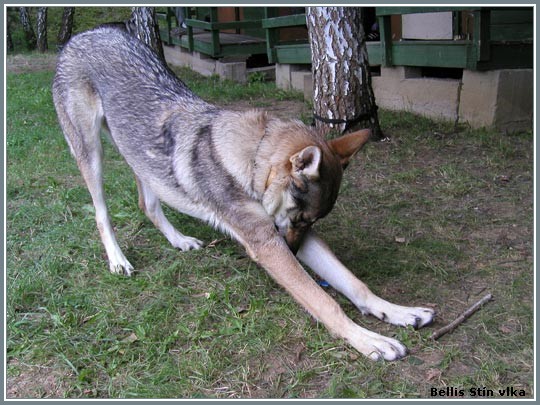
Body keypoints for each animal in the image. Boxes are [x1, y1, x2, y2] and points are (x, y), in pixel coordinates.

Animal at [52, 26, 434, 360]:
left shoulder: (286, 234)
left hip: (141, 161)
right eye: (300, 217)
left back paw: (180, 240)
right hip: (91, 155)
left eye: (308, 222)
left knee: (147, 204)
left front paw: (398, 312)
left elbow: (355, 285)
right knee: (101, 214)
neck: (250, 163)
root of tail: (84, 34)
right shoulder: (267, 242)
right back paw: (118, 260)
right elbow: (325, 301)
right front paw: (369, 340)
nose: (294, 251)